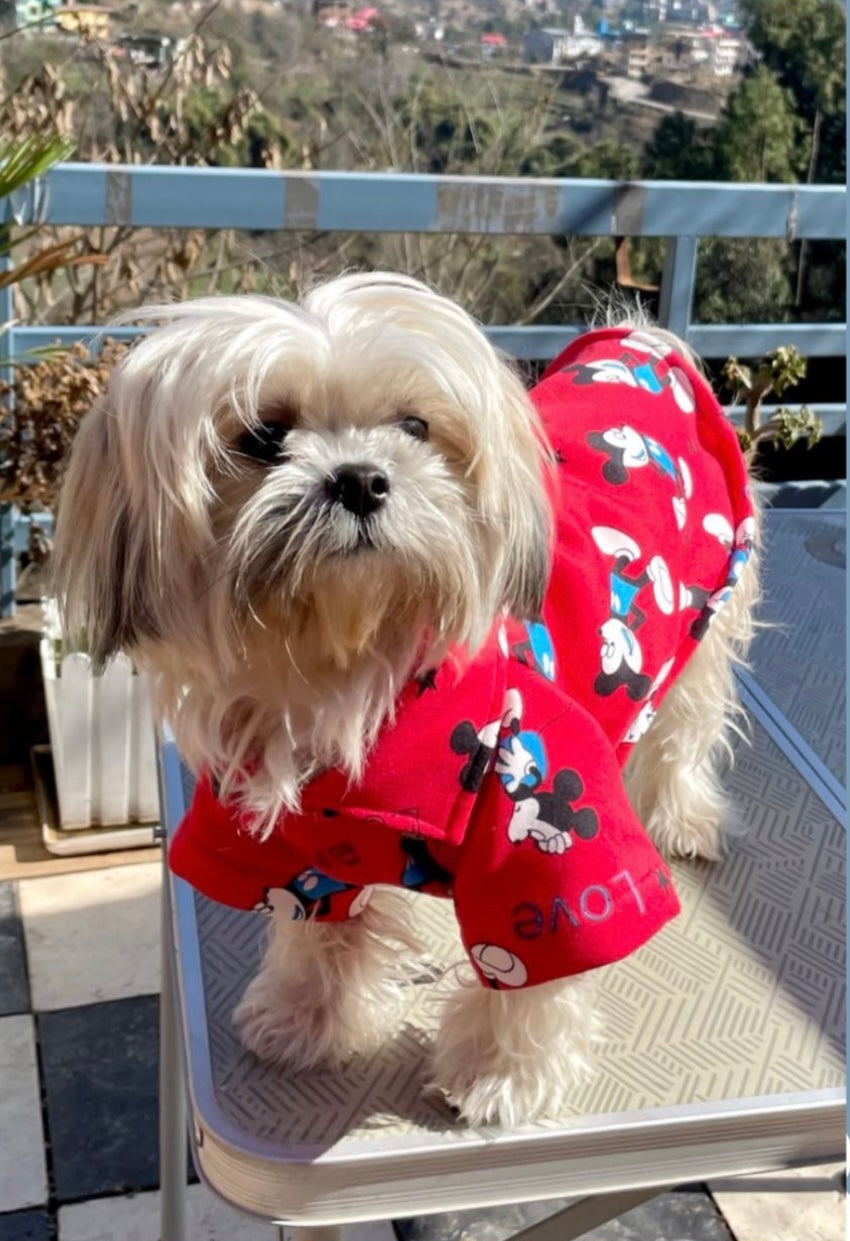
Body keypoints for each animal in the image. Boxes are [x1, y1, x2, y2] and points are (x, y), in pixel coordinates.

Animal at [51, 271, 754, 1126]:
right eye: (263, 435)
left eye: (415, 426)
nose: (360, 477)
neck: (352, 671)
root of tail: (639, 342)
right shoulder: (286, 843)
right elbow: (316, 930)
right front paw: (306, 1016)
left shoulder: (546, 835)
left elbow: (534, 964)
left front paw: (501, 1073)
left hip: (710, 608)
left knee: (686, 728)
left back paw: (682, 815)